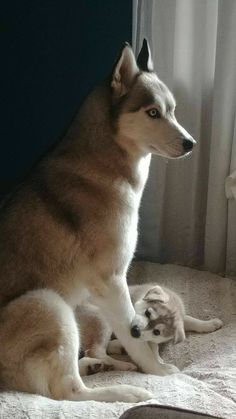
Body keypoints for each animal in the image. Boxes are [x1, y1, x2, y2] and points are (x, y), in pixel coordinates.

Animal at [0, 40, 195, 404]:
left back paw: (97, 366)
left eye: (173, 110)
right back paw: (125, 391)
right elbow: (134, 334)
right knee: (68, 392)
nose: (191, 143)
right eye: (152, 112)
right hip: (47, 302)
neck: (104, 162)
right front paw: (157, 370)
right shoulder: (111, 280)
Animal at [77, 284, 223, 376]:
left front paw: (210, 324)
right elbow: (152, 350)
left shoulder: (178, 321)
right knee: (96, 351)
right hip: (101, 318)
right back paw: (123, 365)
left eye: (157, 332)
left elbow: (191, 320)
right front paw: (160, 363)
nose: (135, 331)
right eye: (147, 313)